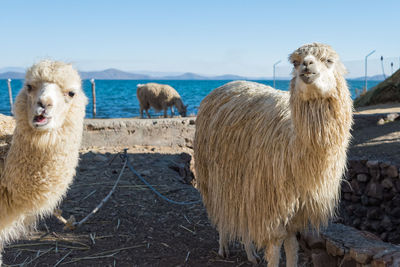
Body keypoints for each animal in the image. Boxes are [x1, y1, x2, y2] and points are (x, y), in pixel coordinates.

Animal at [194, 43, 354, 266]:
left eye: (329, 61)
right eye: (295, 62)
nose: (306, 65)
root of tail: (223, 86)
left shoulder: (296, 209)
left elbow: (292, 244)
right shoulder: (271, 204)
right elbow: (276, 246)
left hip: (243, 183)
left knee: (243, 217)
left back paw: (251, 254)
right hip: (216, 176)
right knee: (223, 211)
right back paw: (223, 247)